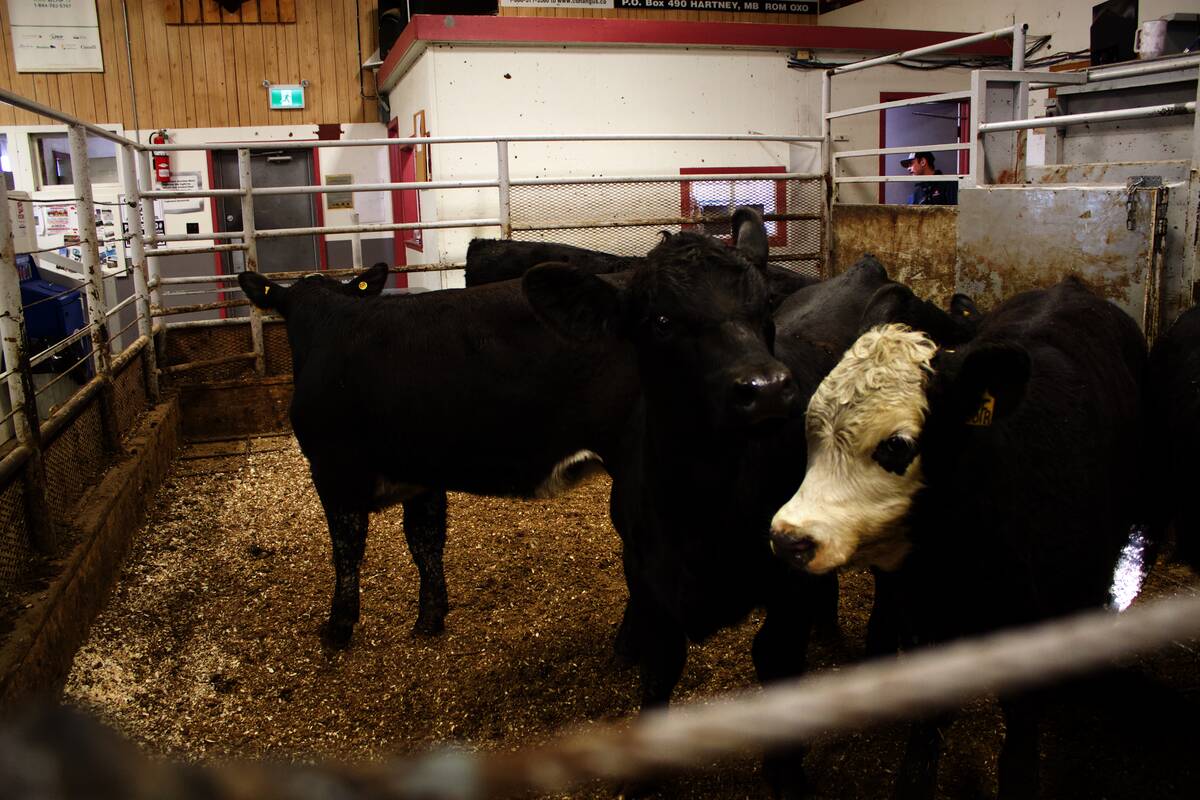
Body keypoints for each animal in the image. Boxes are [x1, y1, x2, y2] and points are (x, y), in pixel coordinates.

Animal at [237, 263, 641, 649]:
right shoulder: (421, 472)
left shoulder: (334, 467)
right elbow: (424, 540)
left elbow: (346, 548)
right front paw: (430, 617)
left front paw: (338, 627)